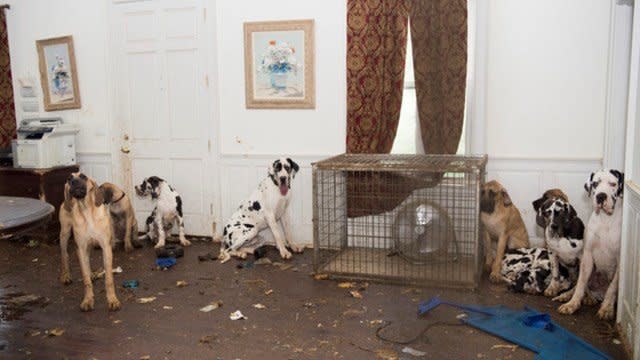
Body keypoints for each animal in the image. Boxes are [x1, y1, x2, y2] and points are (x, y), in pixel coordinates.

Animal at [59, 173, 121, 310]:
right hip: (64, 233)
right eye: (69, 178)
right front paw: (87, 300)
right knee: (64, 255)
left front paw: (112, 300)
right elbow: (85, 278)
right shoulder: (81, 248)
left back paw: (92, 273)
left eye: (83, 176)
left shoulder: (106, 247)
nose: (73, 181)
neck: (86, 210)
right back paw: (66, 275)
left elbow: (109, 279)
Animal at [556, 170, 624, 320]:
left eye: (613, 184)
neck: (605, 220)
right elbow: (581, 283)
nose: (601, 196)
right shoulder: (587, 256)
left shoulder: (619, 261)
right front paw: (572, 304)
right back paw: (567, 295)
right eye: (595, 184)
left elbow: (612, 288)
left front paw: (607, 308)